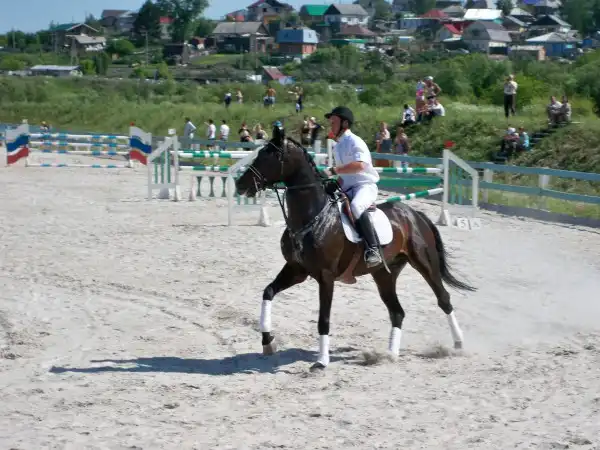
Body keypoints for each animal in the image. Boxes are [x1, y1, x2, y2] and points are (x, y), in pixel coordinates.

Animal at [235, 124, 476, 370]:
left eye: (269, 157)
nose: (240, 185)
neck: (313, 217)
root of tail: (415, 214)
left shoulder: (325, 276)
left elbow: (323, 319)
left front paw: (321, 361)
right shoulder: (296, 269)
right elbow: (268, 292)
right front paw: (268, 342)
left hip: (425, 263)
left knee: (443, 299)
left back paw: (458, 344)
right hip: (384, 274)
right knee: (397, 312)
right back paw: (391, 354)